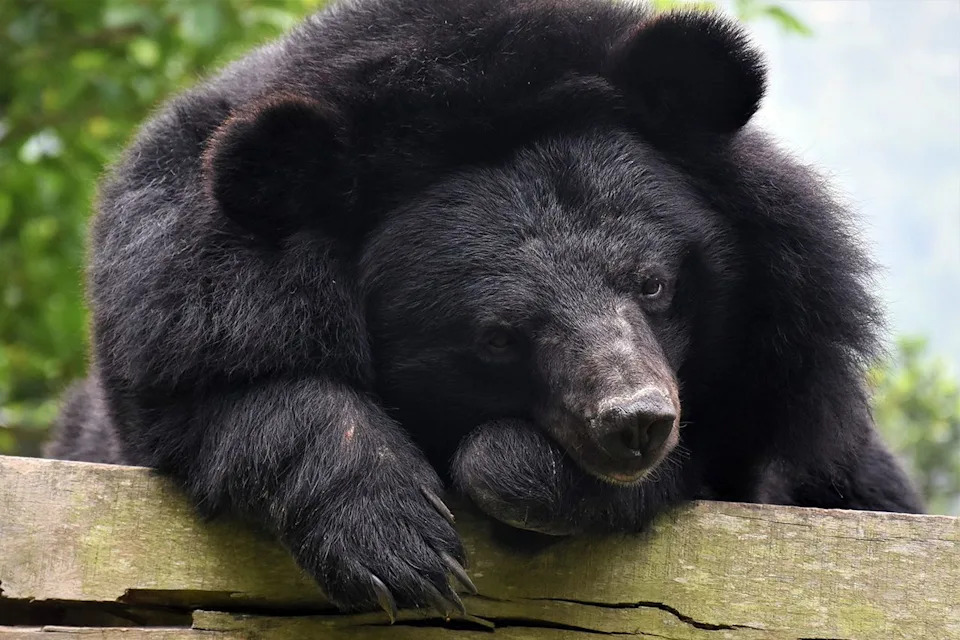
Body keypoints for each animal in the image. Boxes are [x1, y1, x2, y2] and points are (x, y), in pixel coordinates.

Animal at [47, 0, 923, 620]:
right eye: (498, 337)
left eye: (652, 284)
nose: (635, 422)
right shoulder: (180, 295)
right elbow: (238, 391)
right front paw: (396, 546)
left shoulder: (778, 362)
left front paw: (516, 476)